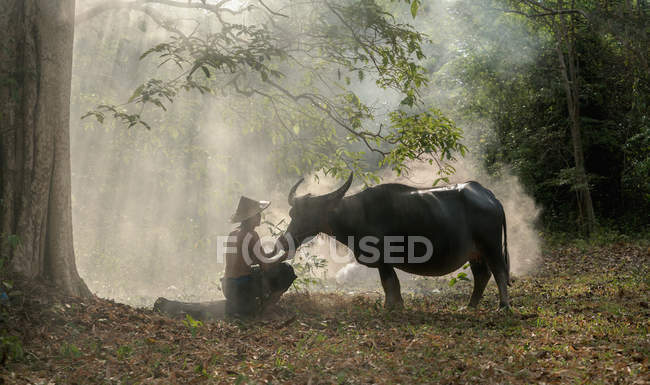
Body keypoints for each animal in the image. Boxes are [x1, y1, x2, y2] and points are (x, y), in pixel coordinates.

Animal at [276, 174, 508, 308]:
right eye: (293, 214)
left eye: (310, 215)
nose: (283, 241)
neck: (358, 214)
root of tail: (490, 197)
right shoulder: (384, 263)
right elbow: (392, 284)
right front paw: (396, 305)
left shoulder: (383, 260)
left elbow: (389, 283)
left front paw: (390, 307)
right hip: (475, 253)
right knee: (482, 275)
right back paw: (470, 306)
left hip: (492, 247)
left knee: (499, 272)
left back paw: (503, 306)